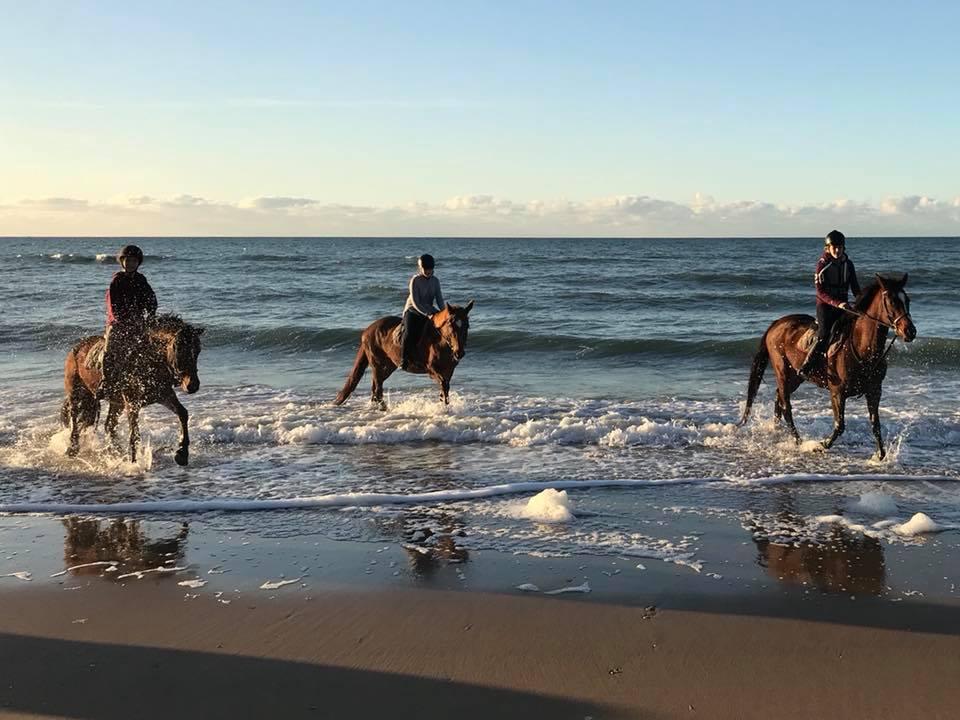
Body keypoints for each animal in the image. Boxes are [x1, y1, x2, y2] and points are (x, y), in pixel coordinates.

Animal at [61, 314, 204, 465]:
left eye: (198, 350)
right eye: (178, 349)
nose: (192, 385)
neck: (146, 360)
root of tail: (76, 348)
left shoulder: (165, 395)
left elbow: (182, 413)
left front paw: (182, 453)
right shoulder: (132, 404)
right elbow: (134, 435)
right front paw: (134, 464)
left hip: (116, 402)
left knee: (109, 425)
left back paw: (116, 452)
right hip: (75, 393)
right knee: (75, 420)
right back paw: (73, 449)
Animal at [334, 301, 474, 408]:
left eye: (467, 325)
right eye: (451, 325)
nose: (459, 353)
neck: (440, 341)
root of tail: (367, 331)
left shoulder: (448, 371)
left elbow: (445, 388)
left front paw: (443, 405)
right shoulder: (432, 370)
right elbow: (444, 385)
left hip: (388, 366)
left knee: (375, 388)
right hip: (377, 365)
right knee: (377, 389)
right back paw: (384, 409)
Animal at [739, 274, 916, 458]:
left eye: (907, 300)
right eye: (891, 301)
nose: (910, 331)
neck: (862, 349)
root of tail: (776, 323)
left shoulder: (874, 391)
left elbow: (875, 424)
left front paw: (879, 455)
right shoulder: (837, 392)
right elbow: (840, 426)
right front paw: (820, 445)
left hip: (795, 377)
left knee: (778, 398)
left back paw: (777, 430)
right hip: (782, 371)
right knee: (786, 406)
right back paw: (799, 441)